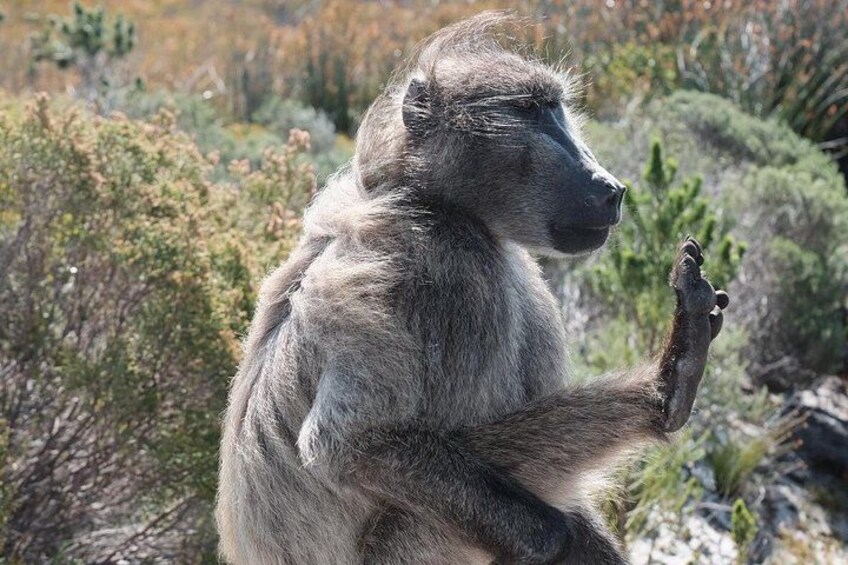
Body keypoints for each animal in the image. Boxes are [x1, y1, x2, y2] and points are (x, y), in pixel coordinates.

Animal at [215, 13, 729, 565]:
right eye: (529, 110)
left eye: (557, 108)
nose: (611, 189)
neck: (427, 197)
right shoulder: (421, 260)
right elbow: (350, 444)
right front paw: (563, 539)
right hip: (415, 543)